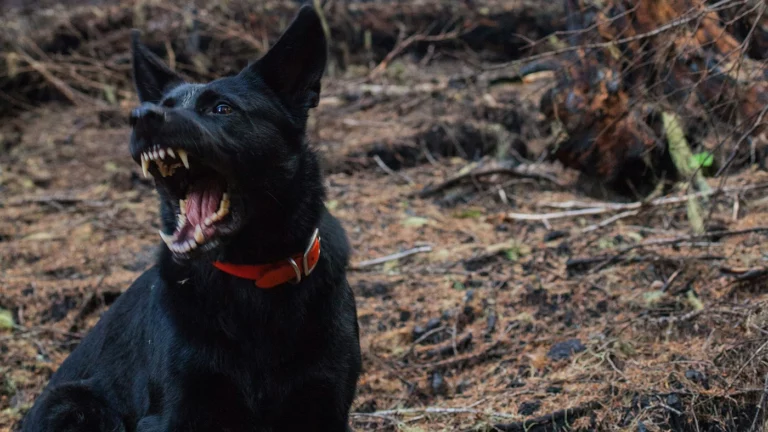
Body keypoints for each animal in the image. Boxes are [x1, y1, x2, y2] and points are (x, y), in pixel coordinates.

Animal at [20, 6, 364, 432]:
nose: (141, 117)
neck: (254, 277)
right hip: (72, 404)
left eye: (222, 108)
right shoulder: (175, 411)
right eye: (165, 103)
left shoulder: (325, 404)